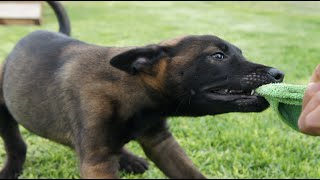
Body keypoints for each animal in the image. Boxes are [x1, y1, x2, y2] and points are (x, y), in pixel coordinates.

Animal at [0, 1, 284, 179]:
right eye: (217, 56)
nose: (278, 74)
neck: (133, 90)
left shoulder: (160, 141)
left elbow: (189, 172)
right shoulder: (97, 162)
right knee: (16, 144)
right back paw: (11, 168)